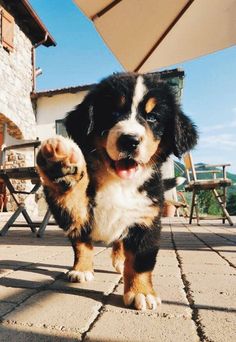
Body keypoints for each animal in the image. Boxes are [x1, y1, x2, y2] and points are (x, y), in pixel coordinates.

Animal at [36, 72, 197, 310]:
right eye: (112, 112)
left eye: (152, 118)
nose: (130, 140)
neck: (118, 183)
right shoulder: (79, 213)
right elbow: (79, 235)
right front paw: (58, 165)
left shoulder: (145, 217)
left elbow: (140, 260)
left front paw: (141, 292)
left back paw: (121, 262)